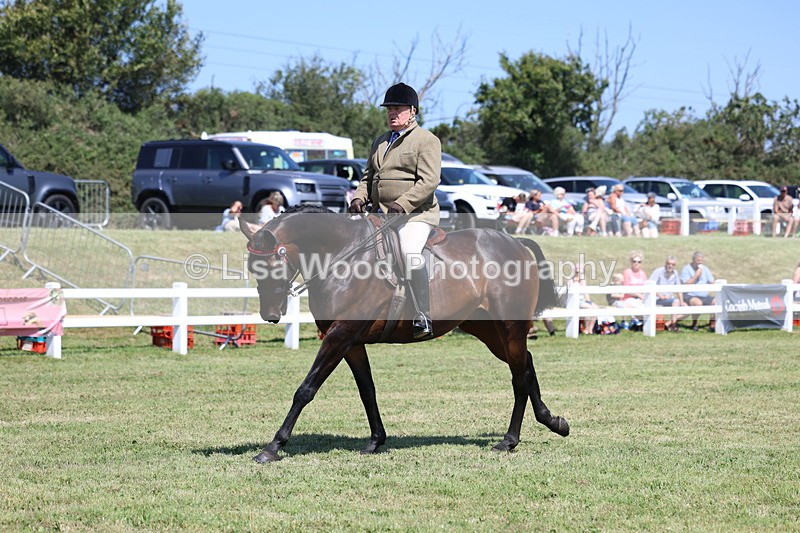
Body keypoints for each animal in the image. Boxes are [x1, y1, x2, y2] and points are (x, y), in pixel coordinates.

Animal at [239, 206, 569, 463]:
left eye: (272, 266)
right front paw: (375, 440)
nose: (271, 314)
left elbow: (306, 389)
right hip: (487, 329)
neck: (342, 256)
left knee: (518, 376)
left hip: (509, 327)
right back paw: (553, 421)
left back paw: (509, 440)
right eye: (253, 268)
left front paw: (273, 446)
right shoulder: (351, 342)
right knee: (524, 364)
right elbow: (367, 390)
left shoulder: (339, 335)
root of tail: (514, 242)